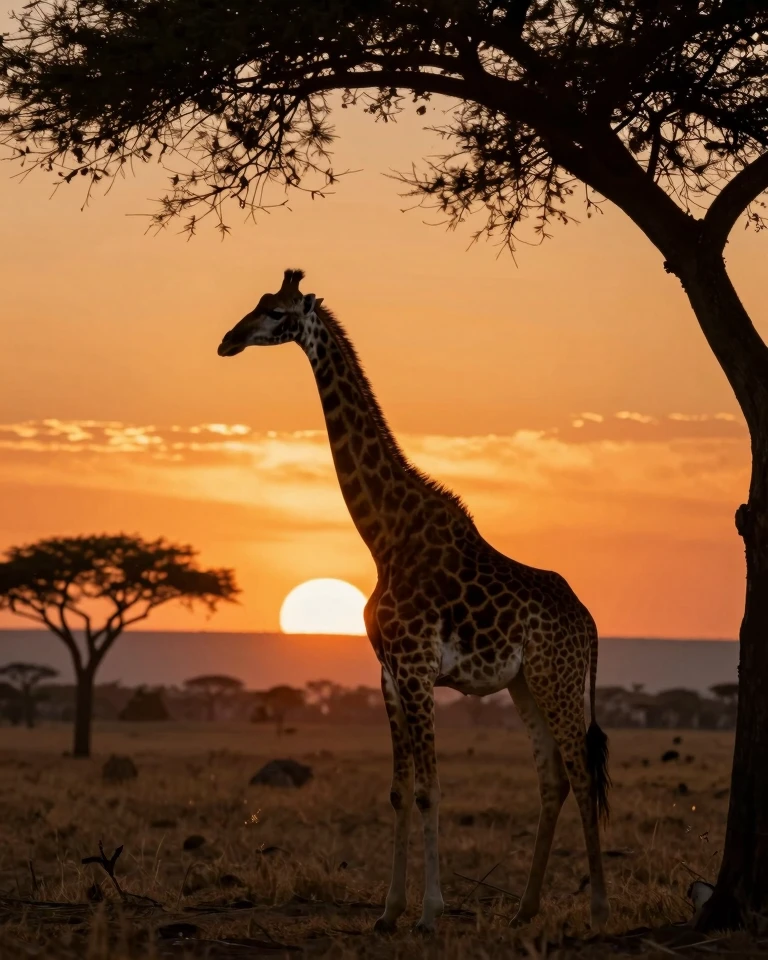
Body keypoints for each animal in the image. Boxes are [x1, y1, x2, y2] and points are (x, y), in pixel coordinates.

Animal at [217, 269, 611, 933]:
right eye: (256, 303)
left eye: (275, 313)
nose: (227, 341)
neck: (383, 534)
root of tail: (589, 624)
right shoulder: (389, 672)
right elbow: (400, 790)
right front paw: (388, 910)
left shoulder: (419, 666)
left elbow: (430, 788)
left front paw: (429, 912)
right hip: (525, 684)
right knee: (553, 779)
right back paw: (525, 908)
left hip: (556, 680)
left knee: (582, 775)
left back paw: (601, 909)